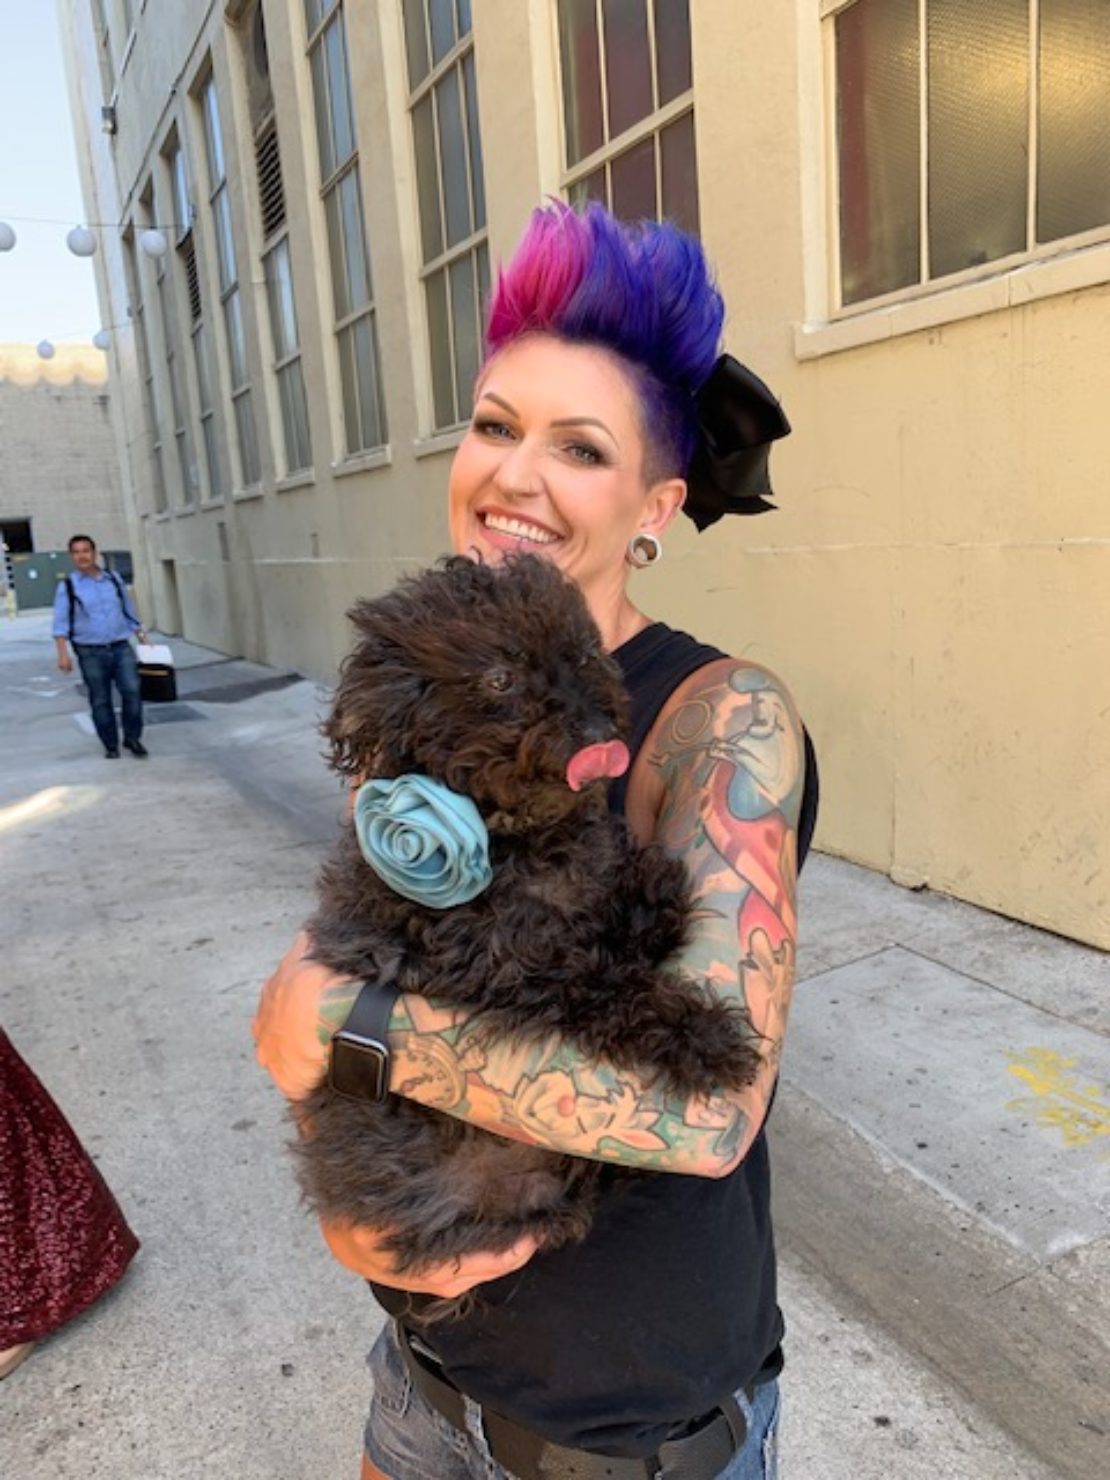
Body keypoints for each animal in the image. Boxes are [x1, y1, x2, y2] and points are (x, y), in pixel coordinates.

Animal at [293, 556, 763, 1296]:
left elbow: (629, 918)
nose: (594, 728)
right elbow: (613, 989)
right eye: (500, 679)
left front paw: (648, 892)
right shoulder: (505, 969)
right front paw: (705, 1038)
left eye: (582, 655)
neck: (521, 840)